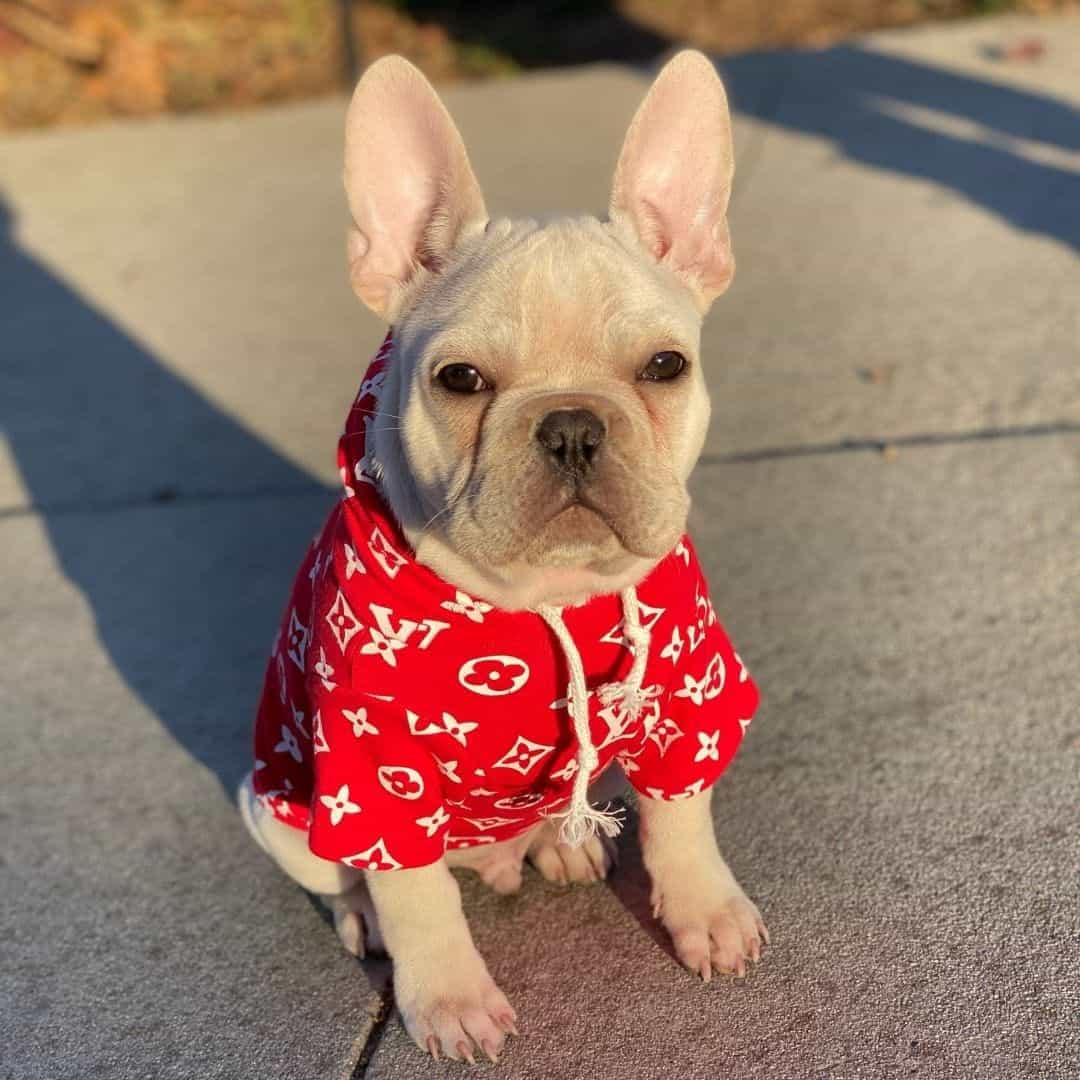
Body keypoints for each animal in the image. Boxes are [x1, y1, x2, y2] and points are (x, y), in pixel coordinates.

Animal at [240, 50, 768, 1062]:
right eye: (460, 380)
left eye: (665, 368)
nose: (571, 426)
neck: (548, 595)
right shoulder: (376, 770)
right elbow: (414, 894)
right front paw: (447, 997)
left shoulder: (684, 701)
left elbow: (683, 817)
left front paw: (706, 913)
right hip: (276, 811)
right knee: (354, 878)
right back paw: (368, 916)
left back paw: (564, 838)